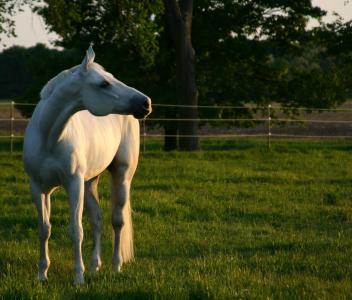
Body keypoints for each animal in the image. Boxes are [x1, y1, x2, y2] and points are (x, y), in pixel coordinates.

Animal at [22, 45, 152, 284]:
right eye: (104, 83)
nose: (146, 103)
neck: (49, 137)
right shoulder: (38, 187)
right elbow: (44, 229)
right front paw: (42, 274)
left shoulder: (74, 184)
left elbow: (76, 230)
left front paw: (78, 278)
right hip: (90, 181)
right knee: (97, 220)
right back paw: (94, 266)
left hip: (122, 175)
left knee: (117, 221)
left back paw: (115, 266)